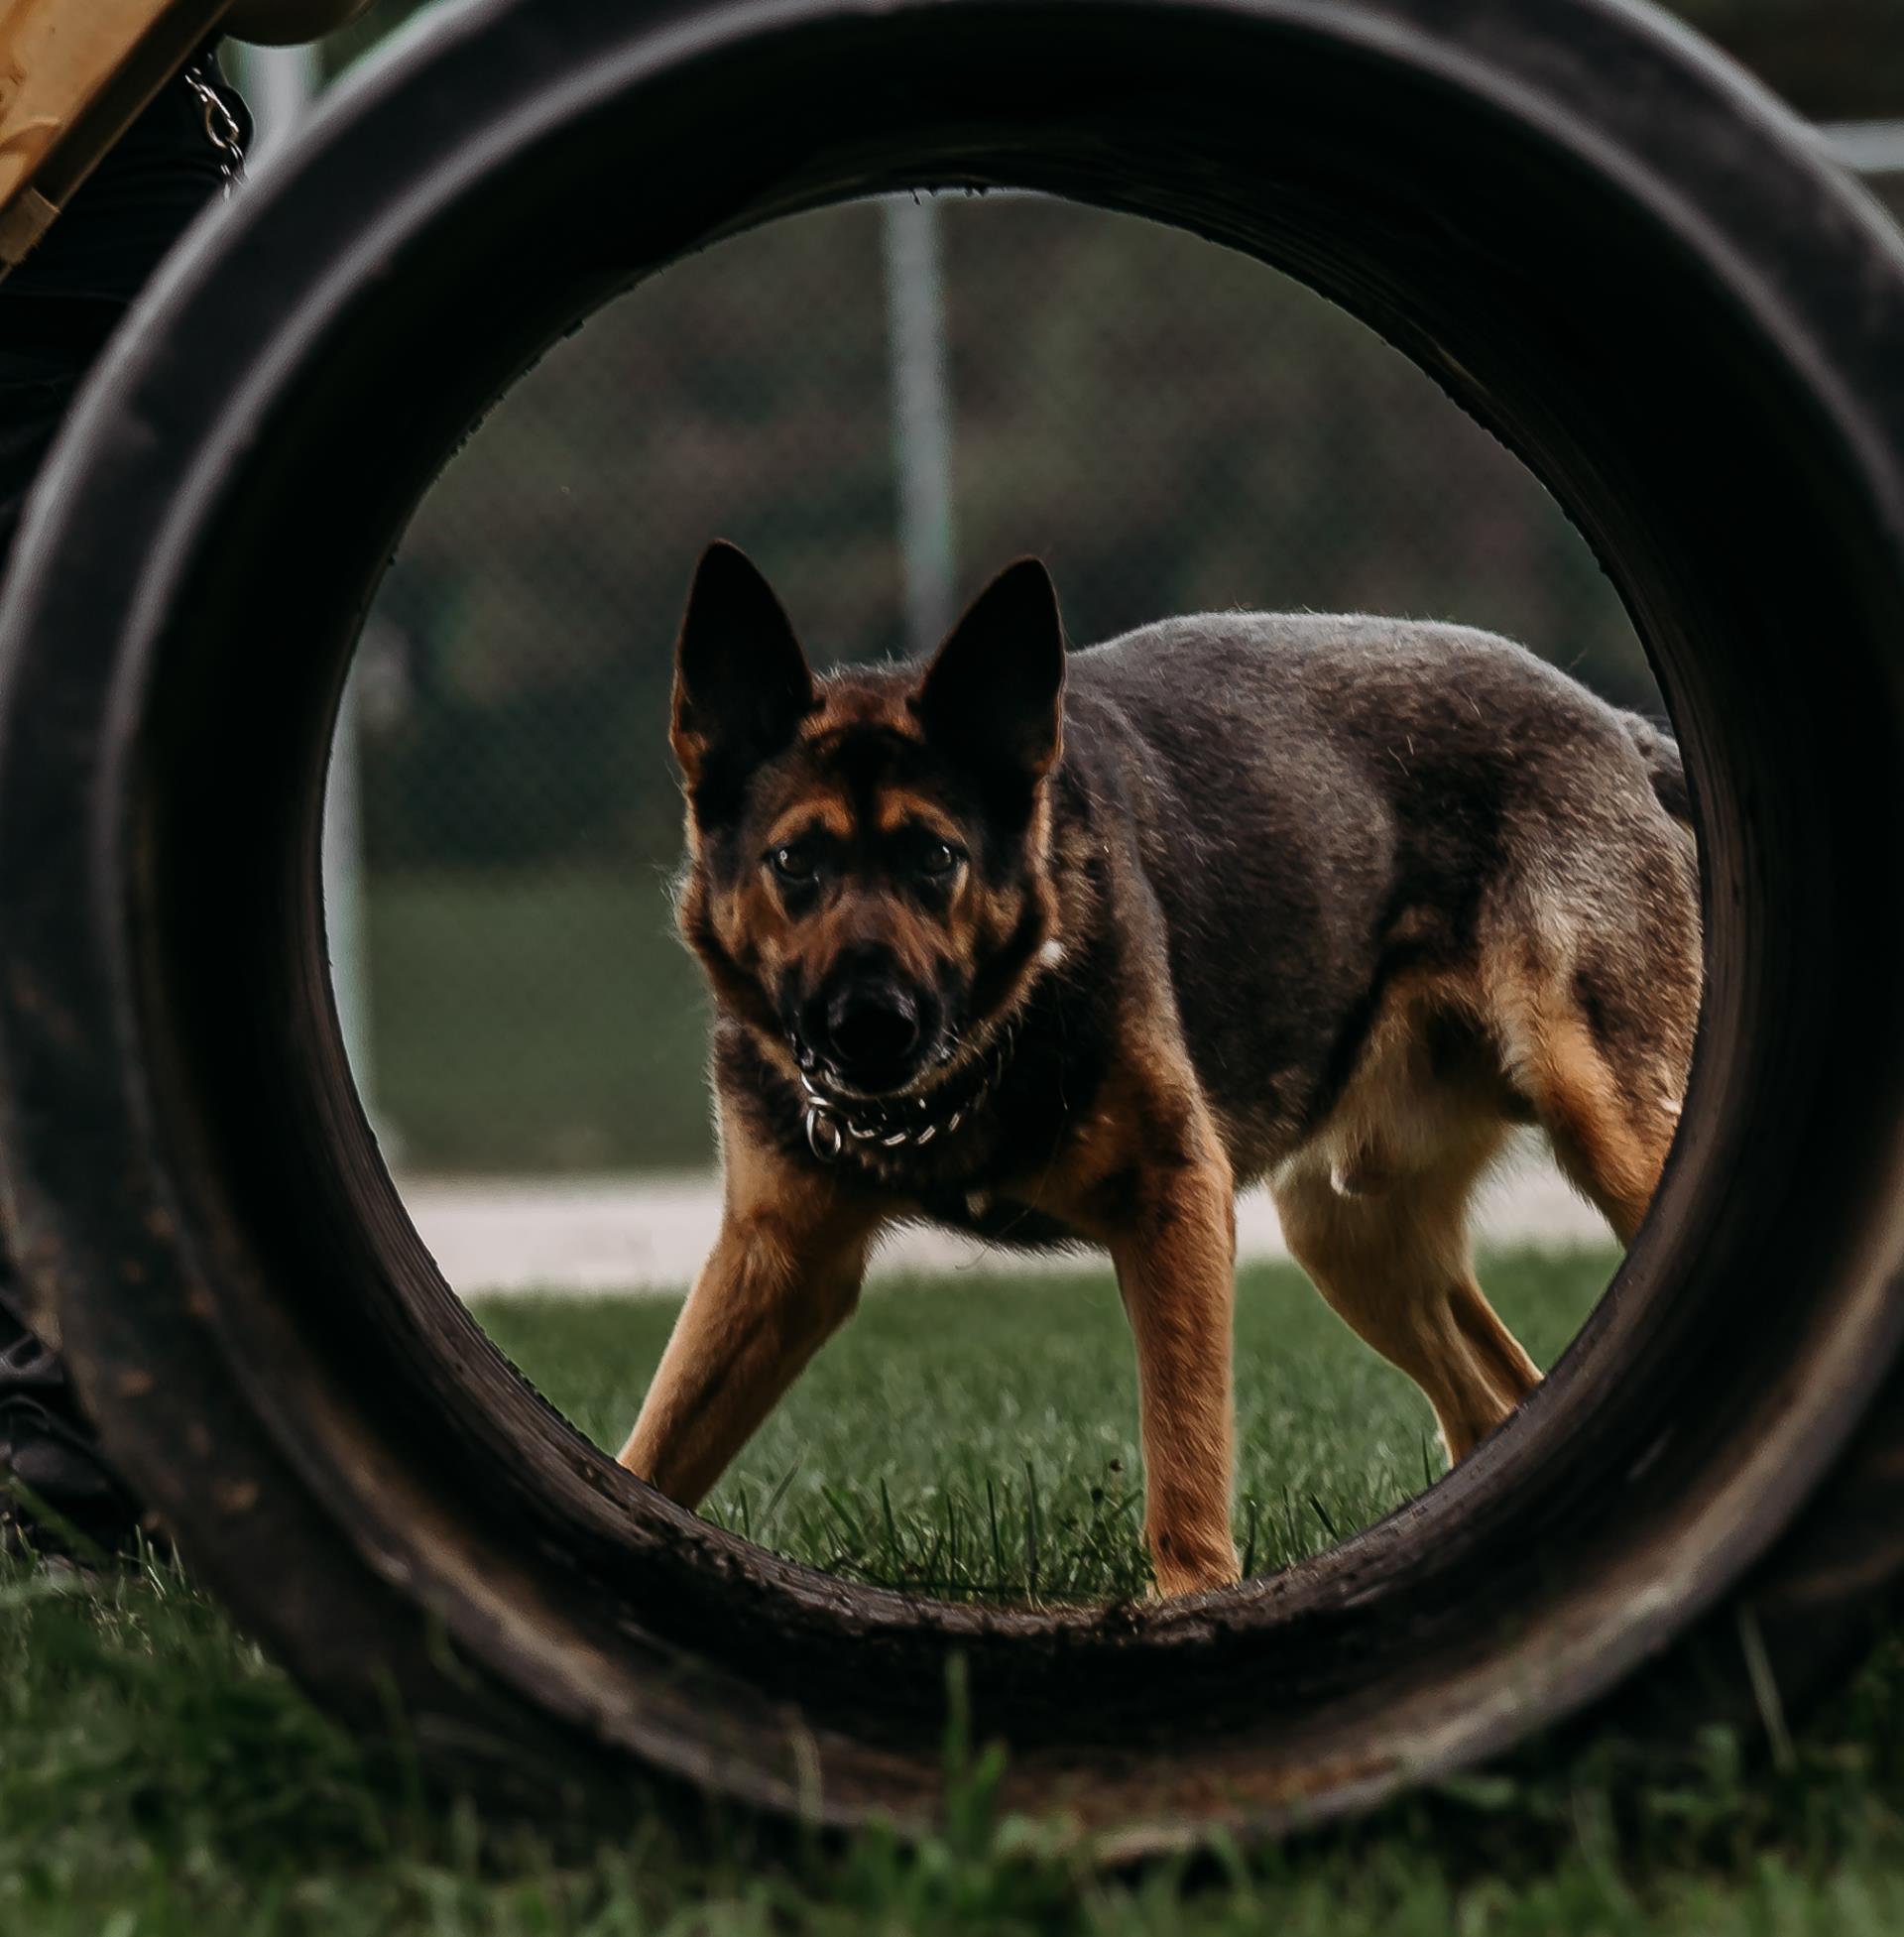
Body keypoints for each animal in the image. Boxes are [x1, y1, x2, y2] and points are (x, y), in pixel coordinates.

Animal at [620, 542, 1704, 1588]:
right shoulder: (773, 1260)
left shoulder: (1175, 1199)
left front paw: (1189, 1596)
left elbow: (1184, 1446)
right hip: (1347, 1232)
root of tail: (1616, 727)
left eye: (936, 859)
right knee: (1499, 1401)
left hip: (1609, 1131)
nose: (870, 1027)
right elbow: (656, 1446)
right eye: (793, 864)